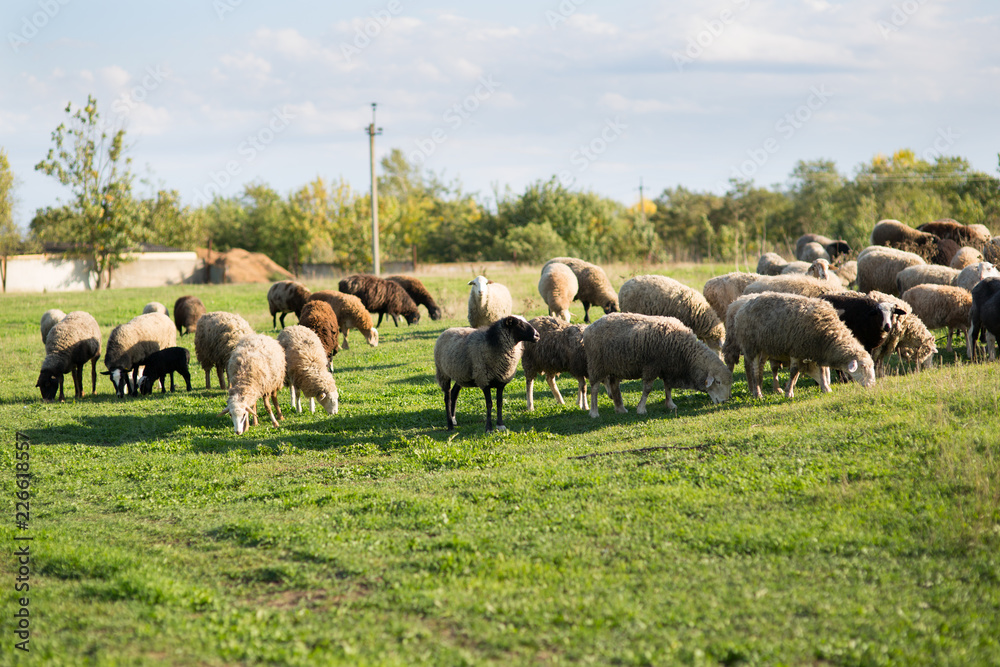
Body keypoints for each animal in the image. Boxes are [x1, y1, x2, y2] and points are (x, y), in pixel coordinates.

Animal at [583, 312, 732, 417]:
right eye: (718, 382)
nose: (724, 401)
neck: (684, 353)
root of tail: (590, 327)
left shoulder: (667, 368)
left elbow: (668, 387)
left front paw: (670, 405)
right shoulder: (652, 366)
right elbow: (648, 389)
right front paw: (641, 409)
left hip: (615, 366)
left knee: (614, 386)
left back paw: (620, 409)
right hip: (596, 364)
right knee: (595, 388)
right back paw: (594, 412)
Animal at [733, 292, 876, 398]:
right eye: (863, 367)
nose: (872, 385)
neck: (828, 332)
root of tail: (744, 304)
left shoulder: (817, 350)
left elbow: (821, 370)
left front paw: (825, 388)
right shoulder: (796, 349)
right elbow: (794, 372)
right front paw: (789, 393)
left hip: (766, 347)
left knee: (761, 367)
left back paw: (760, 389)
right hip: (752, 345)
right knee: (755, 370)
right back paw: (758, 393)